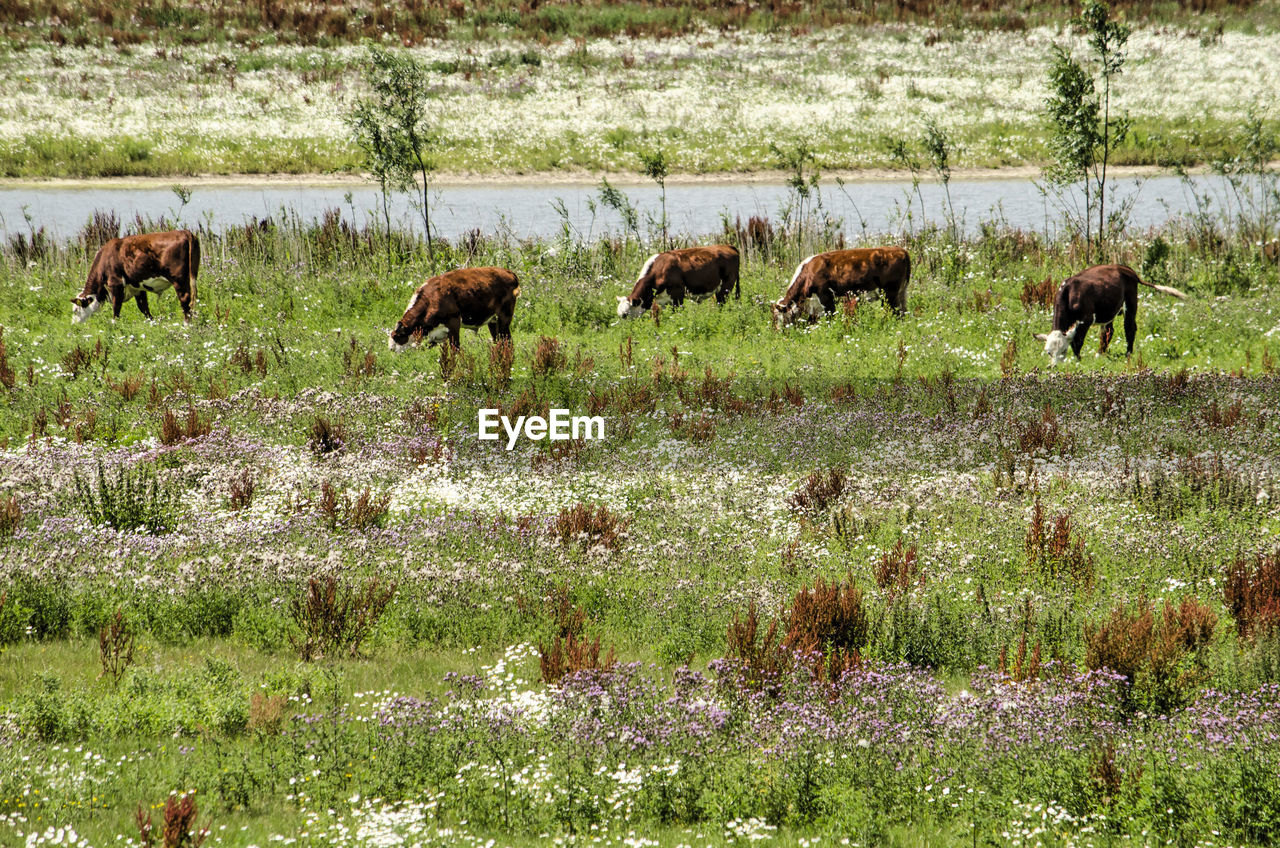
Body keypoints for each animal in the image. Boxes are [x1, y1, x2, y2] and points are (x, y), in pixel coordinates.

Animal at [386, 267, 517, 350]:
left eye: (396, 337)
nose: (390, 349)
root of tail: (508, 272)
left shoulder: (453, 322)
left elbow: (456, 347)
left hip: (504, 318)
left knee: (507, 341)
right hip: (492, 320)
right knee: (497, 340)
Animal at [768, 245, 911, 327]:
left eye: (778, 318)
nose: (777, 334)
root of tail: (900, 250)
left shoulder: (826, 297)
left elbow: (830, 317)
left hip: (890, 293)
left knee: (895, 312)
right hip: (901, 292)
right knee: (903, 312)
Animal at [1029, 266, 1187, 366]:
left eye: (1063, 351)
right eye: (1049, 352)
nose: (1054, 367)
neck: (1069, 293)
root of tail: (1126, 269)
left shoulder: (1085, 320)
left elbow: (1077, 341)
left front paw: (1078, 359)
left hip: (1130, 304)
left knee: (1130, 329)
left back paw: (1128, 353)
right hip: (1108, 312)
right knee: (1108, 332)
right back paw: (1100, 353)